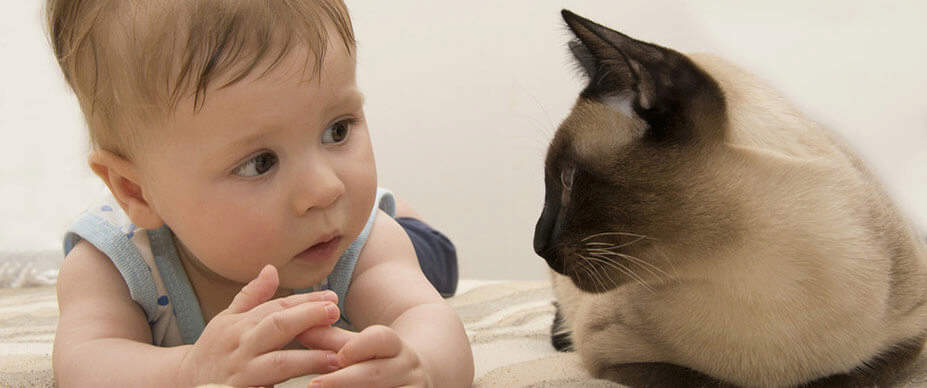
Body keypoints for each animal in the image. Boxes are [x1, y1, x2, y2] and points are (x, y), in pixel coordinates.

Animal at [532, 9, 927, 388]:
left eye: (567, 179)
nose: (538, 245)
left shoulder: (909, 338)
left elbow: (851, 377)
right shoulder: (612, 356)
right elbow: (708, 380)